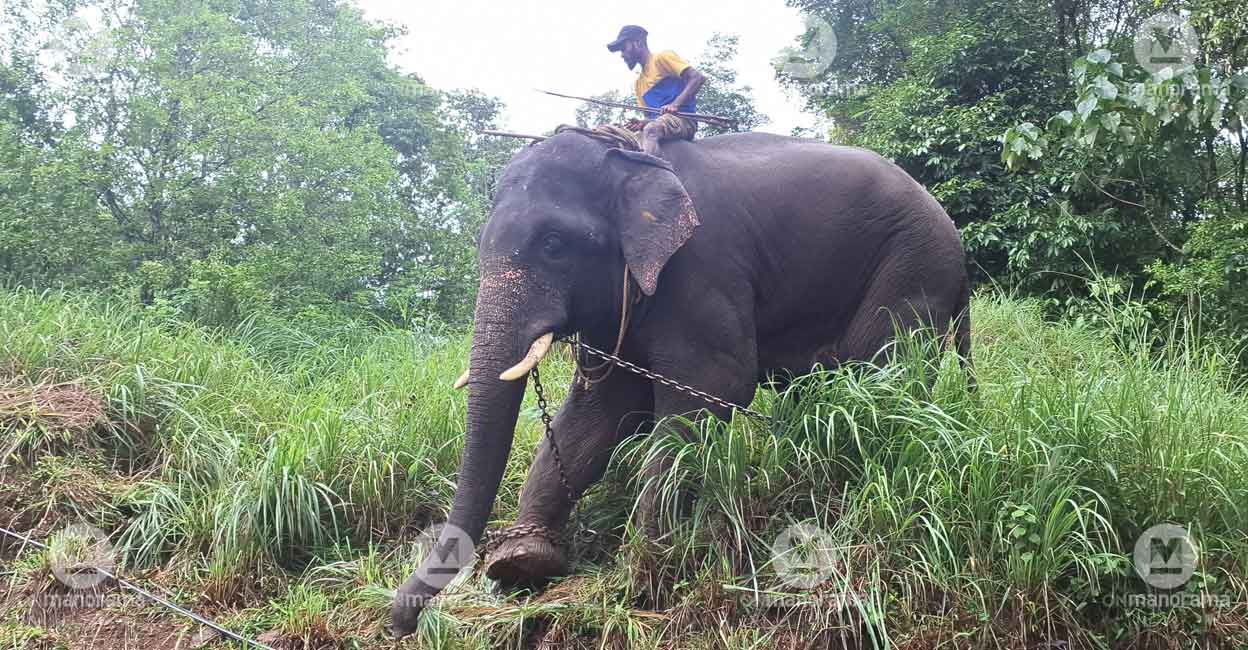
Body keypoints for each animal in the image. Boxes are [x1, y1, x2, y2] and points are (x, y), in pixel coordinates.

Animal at [384, 126, 968, 633]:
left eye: (553, 243)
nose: (401, 622)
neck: (627, 160)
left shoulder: (703, 266)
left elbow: (716, 385)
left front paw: (641, 576)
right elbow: (597, 413)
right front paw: (521, 563)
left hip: (911, 264)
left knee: (883, 371)